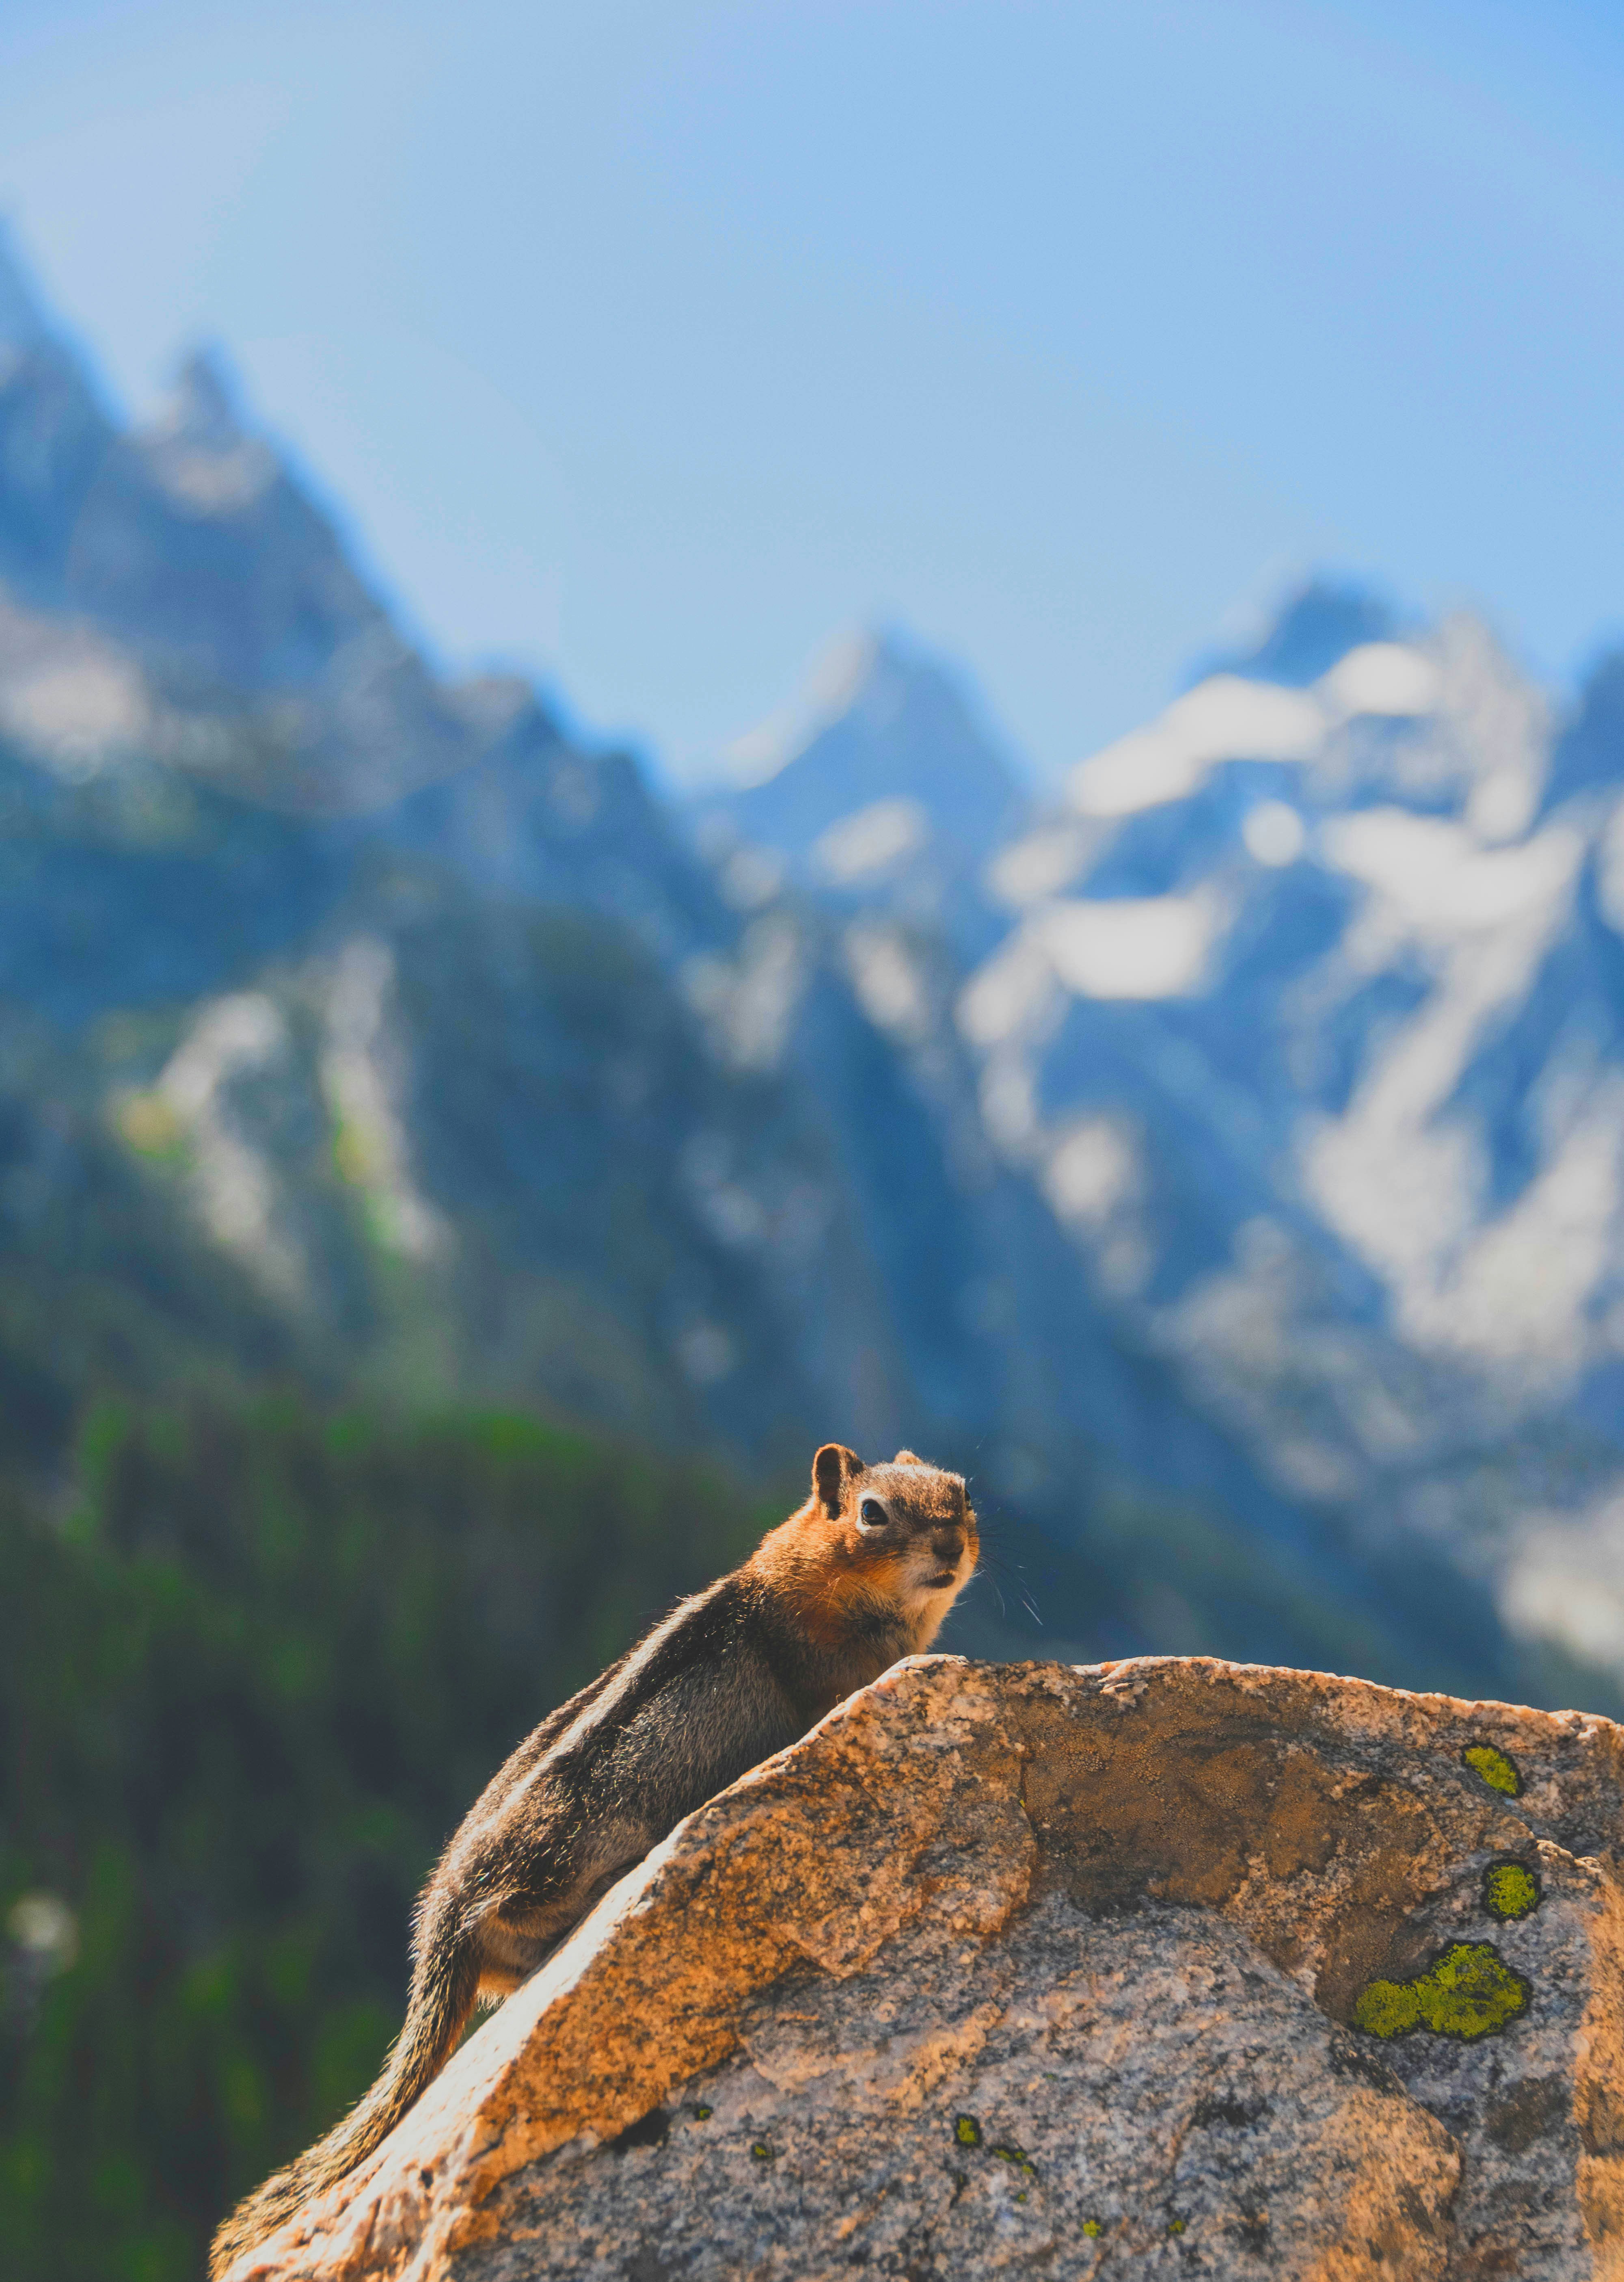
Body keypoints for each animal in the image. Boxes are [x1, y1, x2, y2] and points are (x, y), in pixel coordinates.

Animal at [209, 1443, 976, 2276]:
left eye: (963, 1494)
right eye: (873, 1512)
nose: (950, 1542)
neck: (835, 1579)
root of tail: (438, 1928)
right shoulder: (820, 1651)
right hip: (572, 1838)